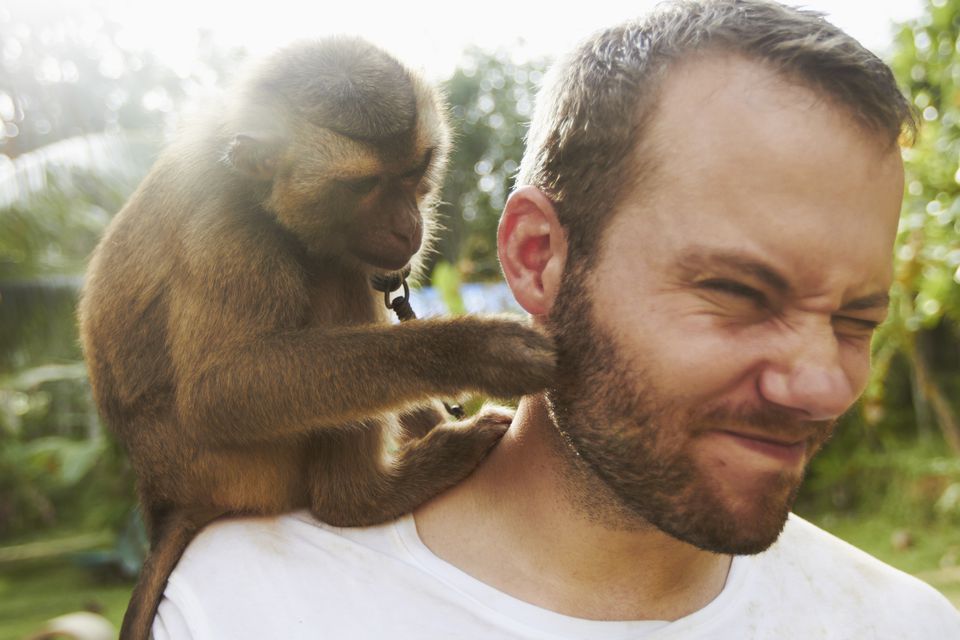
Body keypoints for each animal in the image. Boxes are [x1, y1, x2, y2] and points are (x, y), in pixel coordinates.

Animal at [79, 37, 560, 636]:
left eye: (415, 169)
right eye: (362, 185)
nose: (407, 225)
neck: (254, 188)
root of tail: (164, 497)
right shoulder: (227, 230)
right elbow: (221, 391)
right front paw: (477, 351)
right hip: (237, 469)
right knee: (337, 283)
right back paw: (360, 499)